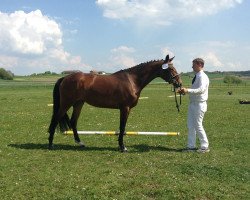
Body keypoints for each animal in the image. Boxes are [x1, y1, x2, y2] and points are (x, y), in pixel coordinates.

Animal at [48, 54, 182, 152]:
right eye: (170, 68)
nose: (179, 83)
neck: (132, 81)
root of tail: (65, 78)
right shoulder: (124, 108)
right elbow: (122, 127)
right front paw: (122, 147)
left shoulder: (127, 109)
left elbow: (123, 127)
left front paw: (120, 145)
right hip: (66, 103)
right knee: (56, 119)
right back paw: (50, 144)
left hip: (78, 103)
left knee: (73, 121)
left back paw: (80, 143)